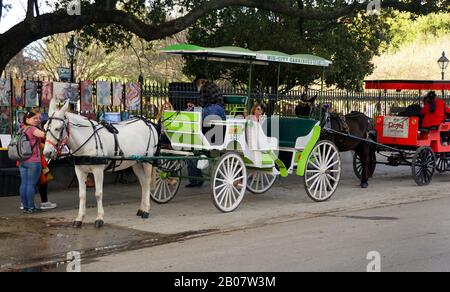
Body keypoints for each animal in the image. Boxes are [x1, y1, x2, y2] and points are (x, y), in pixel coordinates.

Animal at [43, 100, 160, 228]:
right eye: (45, 128)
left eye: (58, 128)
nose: (47, 153)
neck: (87, 141)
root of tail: (147, 122)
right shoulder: (79, 171)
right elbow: (82, 195)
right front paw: (79, 218)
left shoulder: (98, 170)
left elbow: (98, 194)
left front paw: (99, 218)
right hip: (136, 163)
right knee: (143, 183)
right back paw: (141, 209)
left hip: (147, 161)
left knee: (147, 183)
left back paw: (146, 210)